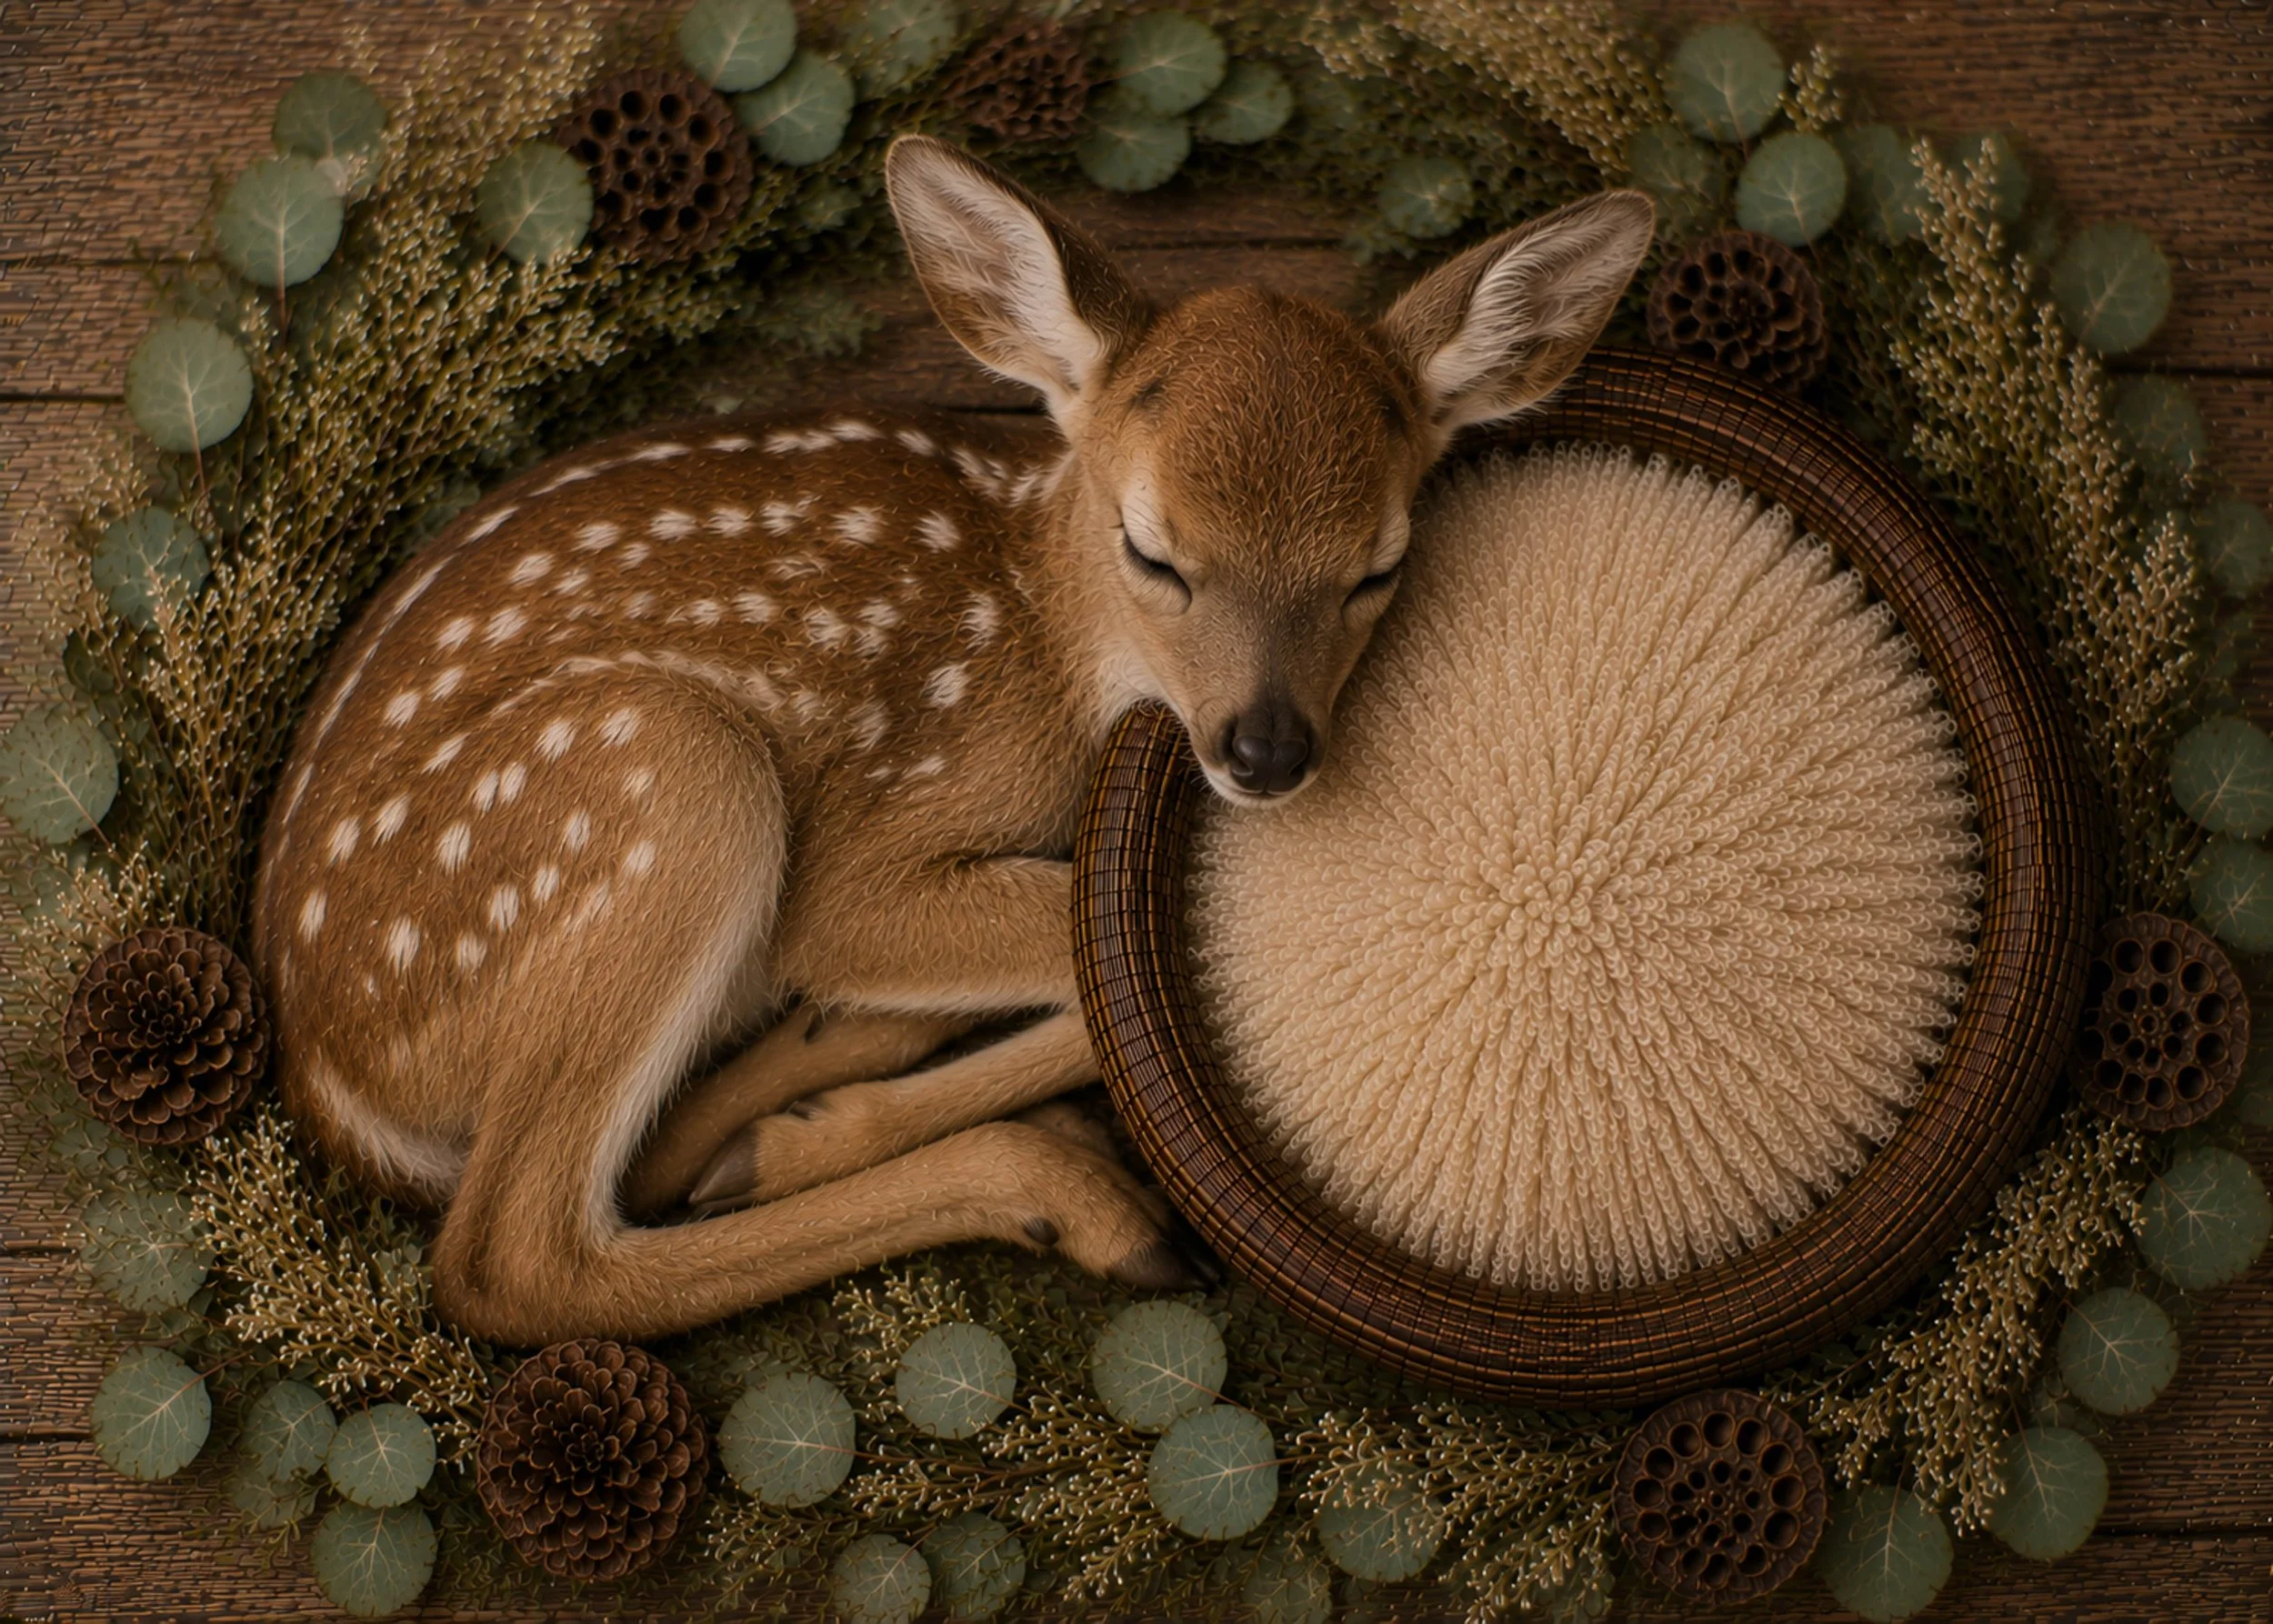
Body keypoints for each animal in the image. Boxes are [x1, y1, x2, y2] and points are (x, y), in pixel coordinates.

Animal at [249, 135, 1653, 1347]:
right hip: (661, 768)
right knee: (512, 1261)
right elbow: (1086, 954)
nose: (1265, 750)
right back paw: (1055, 1194)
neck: (1047, 641)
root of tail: (328, 1074)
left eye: (1380, 565)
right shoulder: (861, 848)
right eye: (1152, 548)